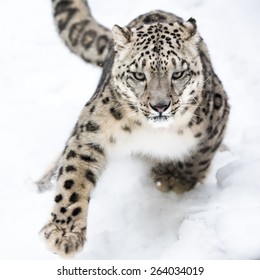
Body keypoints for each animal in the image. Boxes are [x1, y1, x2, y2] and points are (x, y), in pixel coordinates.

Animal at [39, 0, 230, 258]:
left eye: (178, 73)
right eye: (139, 75)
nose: (160, 105)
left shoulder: (217, 115)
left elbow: (199, 156)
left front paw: (176, 178)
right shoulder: (91, 133)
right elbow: (72, 181)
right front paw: (64, 234)